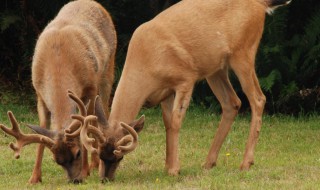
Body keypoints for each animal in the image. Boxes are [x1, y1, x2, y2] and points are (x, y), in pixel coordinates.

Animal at [0, 0, 117, 184]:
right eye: (56, 160)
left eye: (77, 153)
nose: (75, 180)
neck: (59, 63)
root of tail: (94, 3)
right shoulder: (39, 95)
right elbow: (42, 132)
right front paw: (34, 178)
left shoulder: (90, 88)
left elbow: (86, 130)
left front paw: (86, 170)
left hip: (107, 71)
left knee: (102, 113)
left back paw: (95, 164)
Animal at [67, 0, 292, 182]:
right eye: (100, 153)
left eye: (119, 155)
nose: (105, 178)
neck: (147, 64)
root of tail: (260, 5)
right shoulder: (165, 92)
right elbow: (167, 123)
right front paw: (168, 164)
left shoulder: (186, 79)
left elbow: (176, 121)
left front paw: (174, 169)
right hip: (216, 68)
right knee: (232, 102)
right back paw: (209, 162)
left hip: (243, 53)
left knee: (258, 99)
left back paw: (245, 163)